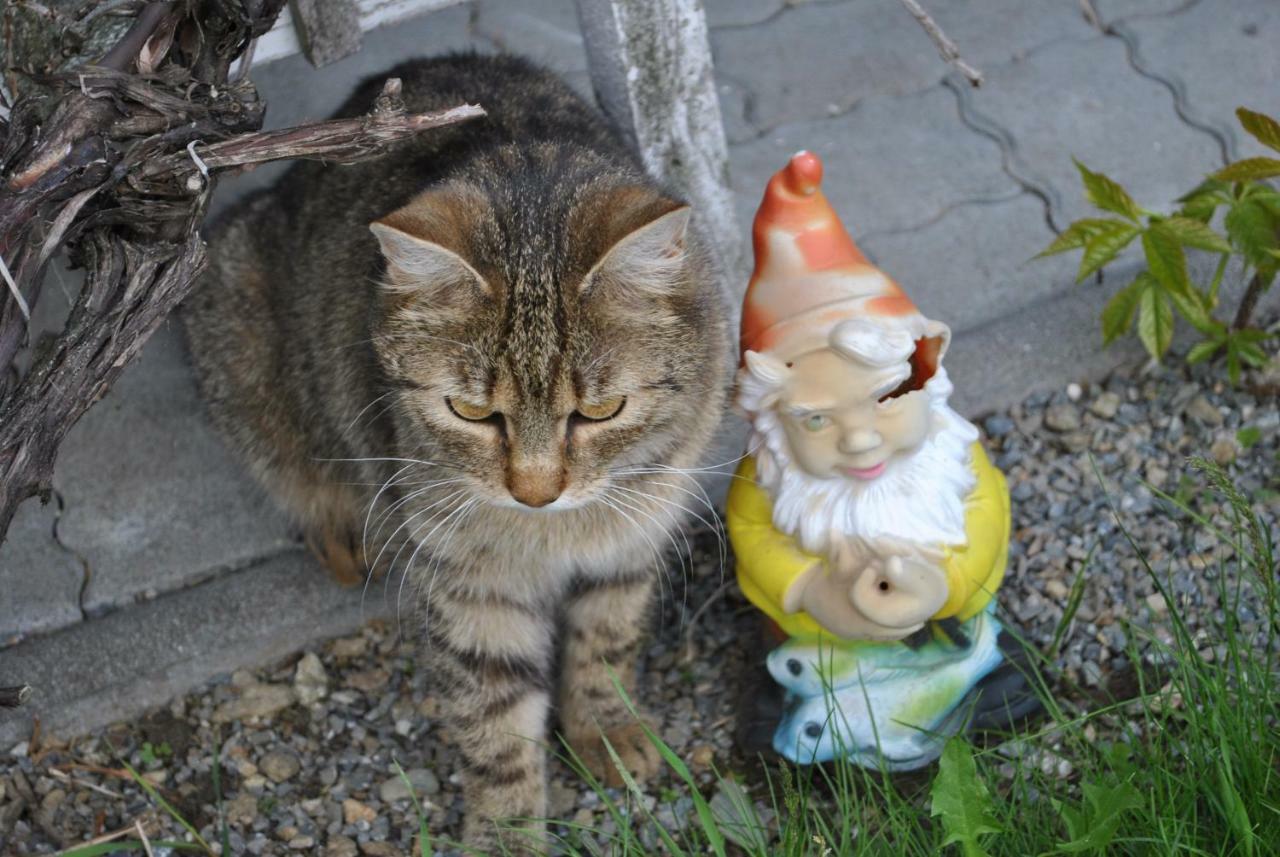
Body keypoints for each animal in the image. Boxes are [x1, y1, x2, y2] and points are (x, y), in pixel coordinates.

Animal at [185, 53, 737, 854]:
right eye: (472, 412)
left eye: (600, 411)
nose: (535, 491)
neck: (550, 535)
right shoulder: (471, 581)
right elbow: (496, 719)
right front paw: (506, 830)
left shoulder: (637, 531)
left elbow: (607, 638)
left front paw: (605, 729)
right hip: (236, 315)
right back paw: (342, 528)